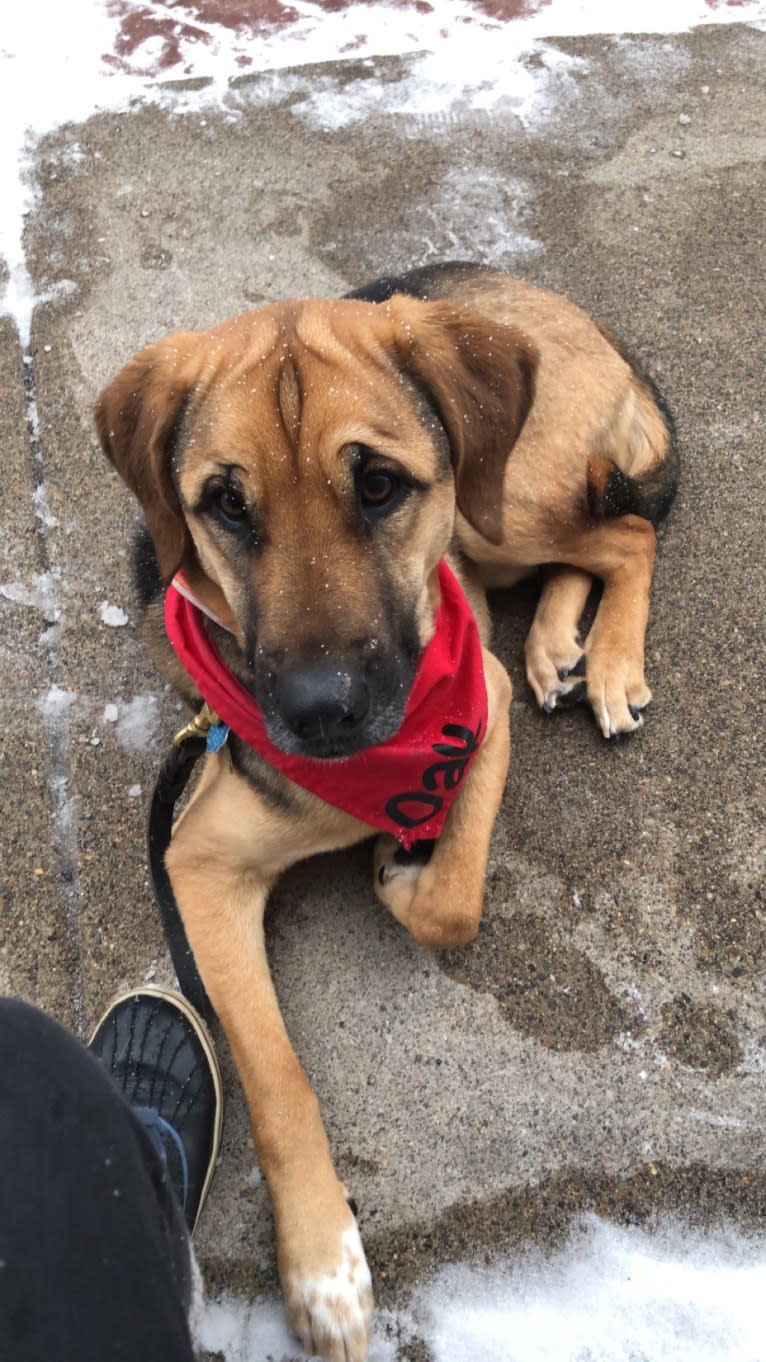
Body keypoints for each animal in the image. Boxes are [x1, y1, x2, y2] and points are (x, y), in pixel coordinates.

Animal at [96, 260, 673, 1356]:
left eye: (377, 485)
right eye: (222, 505)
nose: (320, 712)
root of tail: (517, 286)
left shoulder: (477, 703)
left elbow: (456, 899)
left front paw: (405, 868)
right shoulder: (197, 867)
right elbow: (275, 1077)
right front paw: (323, 1263)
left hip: (502, 502)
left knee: (623, 533)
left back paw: (610, 658)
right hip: (497, 531)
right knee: (582, 555)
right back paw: (559, 647)